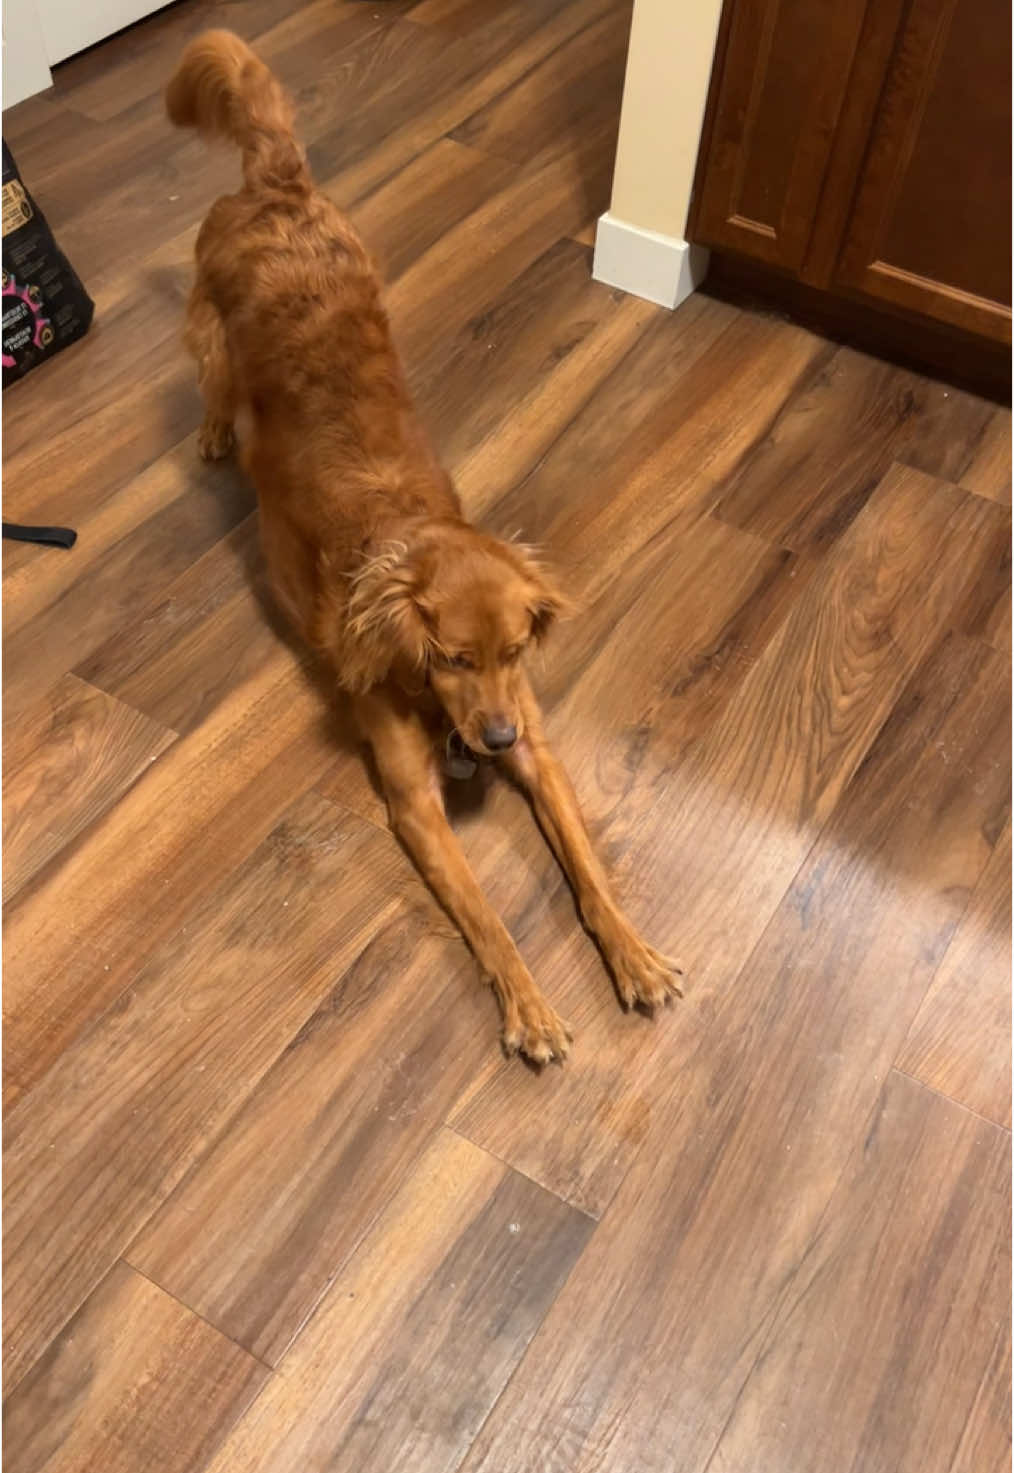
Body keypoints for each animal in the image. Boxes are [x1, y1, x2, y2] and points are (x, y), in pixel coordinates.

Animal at [166, 31, 680, 1060]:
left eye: (515, 649)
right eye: (448, 657)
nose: (493, 738)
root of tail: (278, 184)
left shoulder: (541, 750)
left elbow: (589, 870)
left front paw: (633, 954)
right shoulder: (413, 802)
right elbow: (489, 916)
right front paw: (529, 1005)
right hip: (210, 334)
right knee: (212, 383)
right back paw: (211, 433)